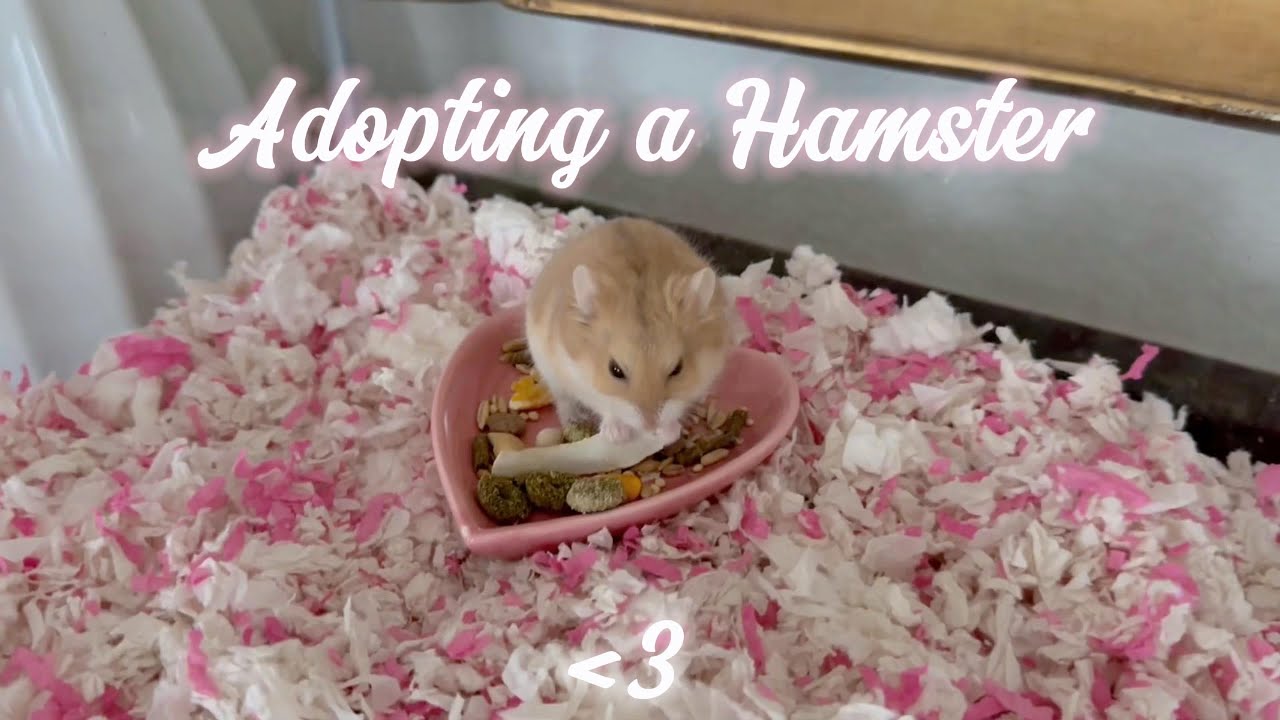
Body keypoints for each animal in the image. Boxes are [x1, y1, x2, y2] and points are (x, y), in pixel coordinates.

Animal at [525, 217, 731, 446]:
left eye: (678, 369)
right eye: (615, 370)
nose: (651, 426)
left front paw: (669, 432)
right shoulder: (577, 377)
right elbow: (605, 405)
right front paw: (617, 436)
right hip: (549, 371)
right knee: (563, 400)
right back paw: (576, 419)